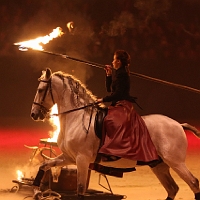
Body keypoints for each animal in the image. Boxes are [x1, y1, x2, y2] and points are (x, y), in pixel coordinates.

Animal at [30, 68, 200, 199]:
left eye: (40, 90)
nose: (34, 114)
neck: (77, 117)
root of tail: (178, 125)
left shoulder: (82, 160)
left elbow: (80, 191)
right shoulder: (69, 157)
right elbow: (44, 166)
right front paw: (37, 191)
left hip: (175, 162)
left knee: (193, 183)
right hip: (159, 165)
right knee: (172, 188)